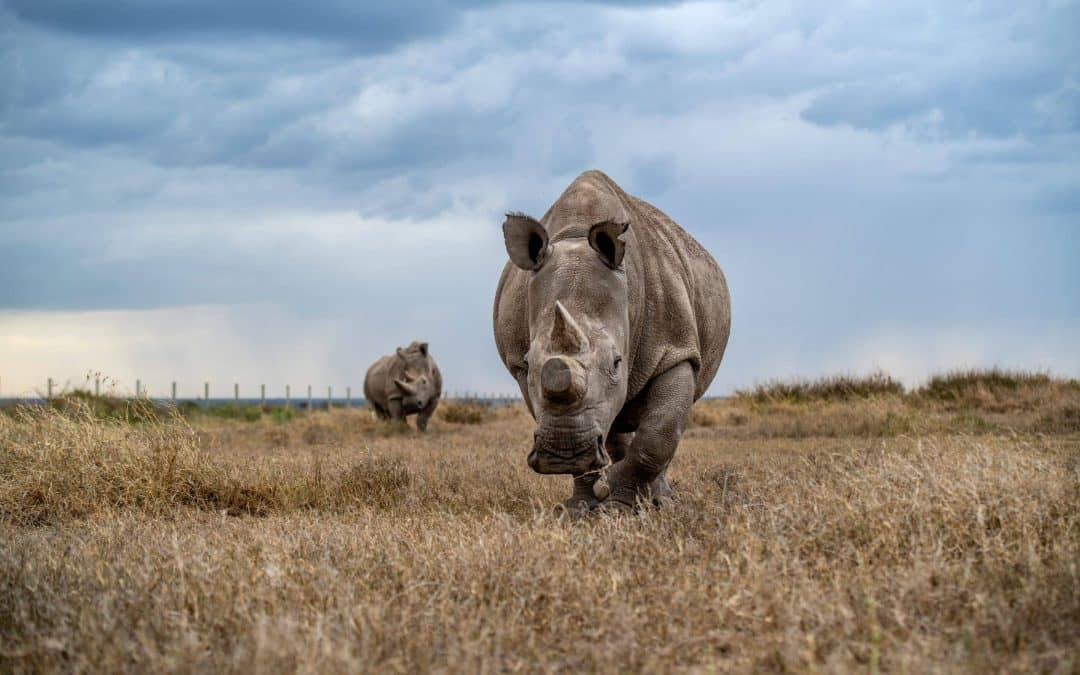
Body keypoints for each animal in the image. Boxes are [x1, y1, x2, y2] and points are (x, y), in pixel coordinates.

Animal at [493, 170, 730, 511]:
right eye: (529, 362)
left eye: (617, 363)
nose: (565, 452)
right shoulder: (520, 370)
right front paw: (583, 509)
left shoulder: (676, 349)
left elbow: (660, 432)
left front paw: (617, 504)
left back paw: (660, 502)